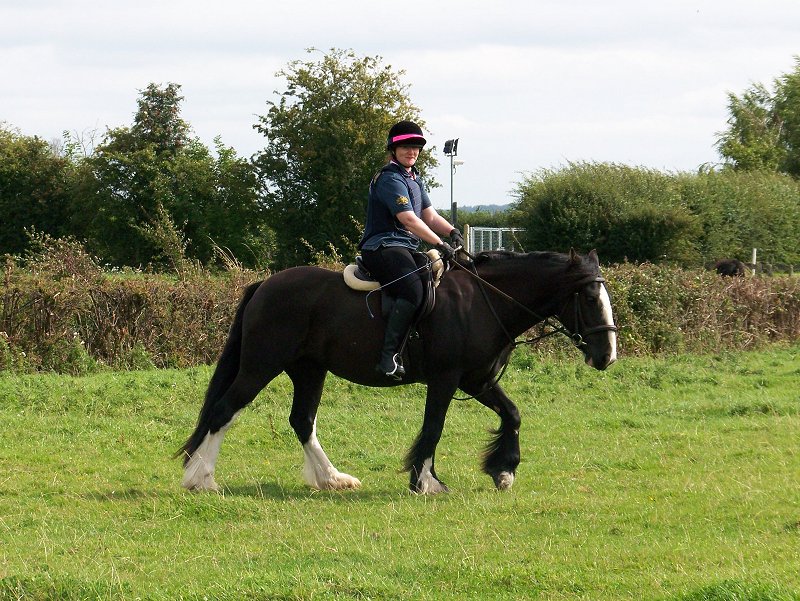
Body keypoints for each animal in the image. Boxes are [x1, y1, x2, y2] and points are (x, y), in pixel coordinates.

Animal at [176, 249, 617, 494]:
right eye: (589, 297)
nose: (607, 356)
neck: (483, 300)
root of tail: (264, 285)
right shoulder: (446, 379)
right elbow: (434, 427)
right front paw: (426, 482)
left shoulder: (476, 379)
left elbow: (512, 414)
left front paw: (503, 470)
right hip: (261, 364)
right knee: (224, 411)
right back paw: (202, 479)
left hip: (309, 369)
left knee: (302, 420)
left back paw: (332, 479)